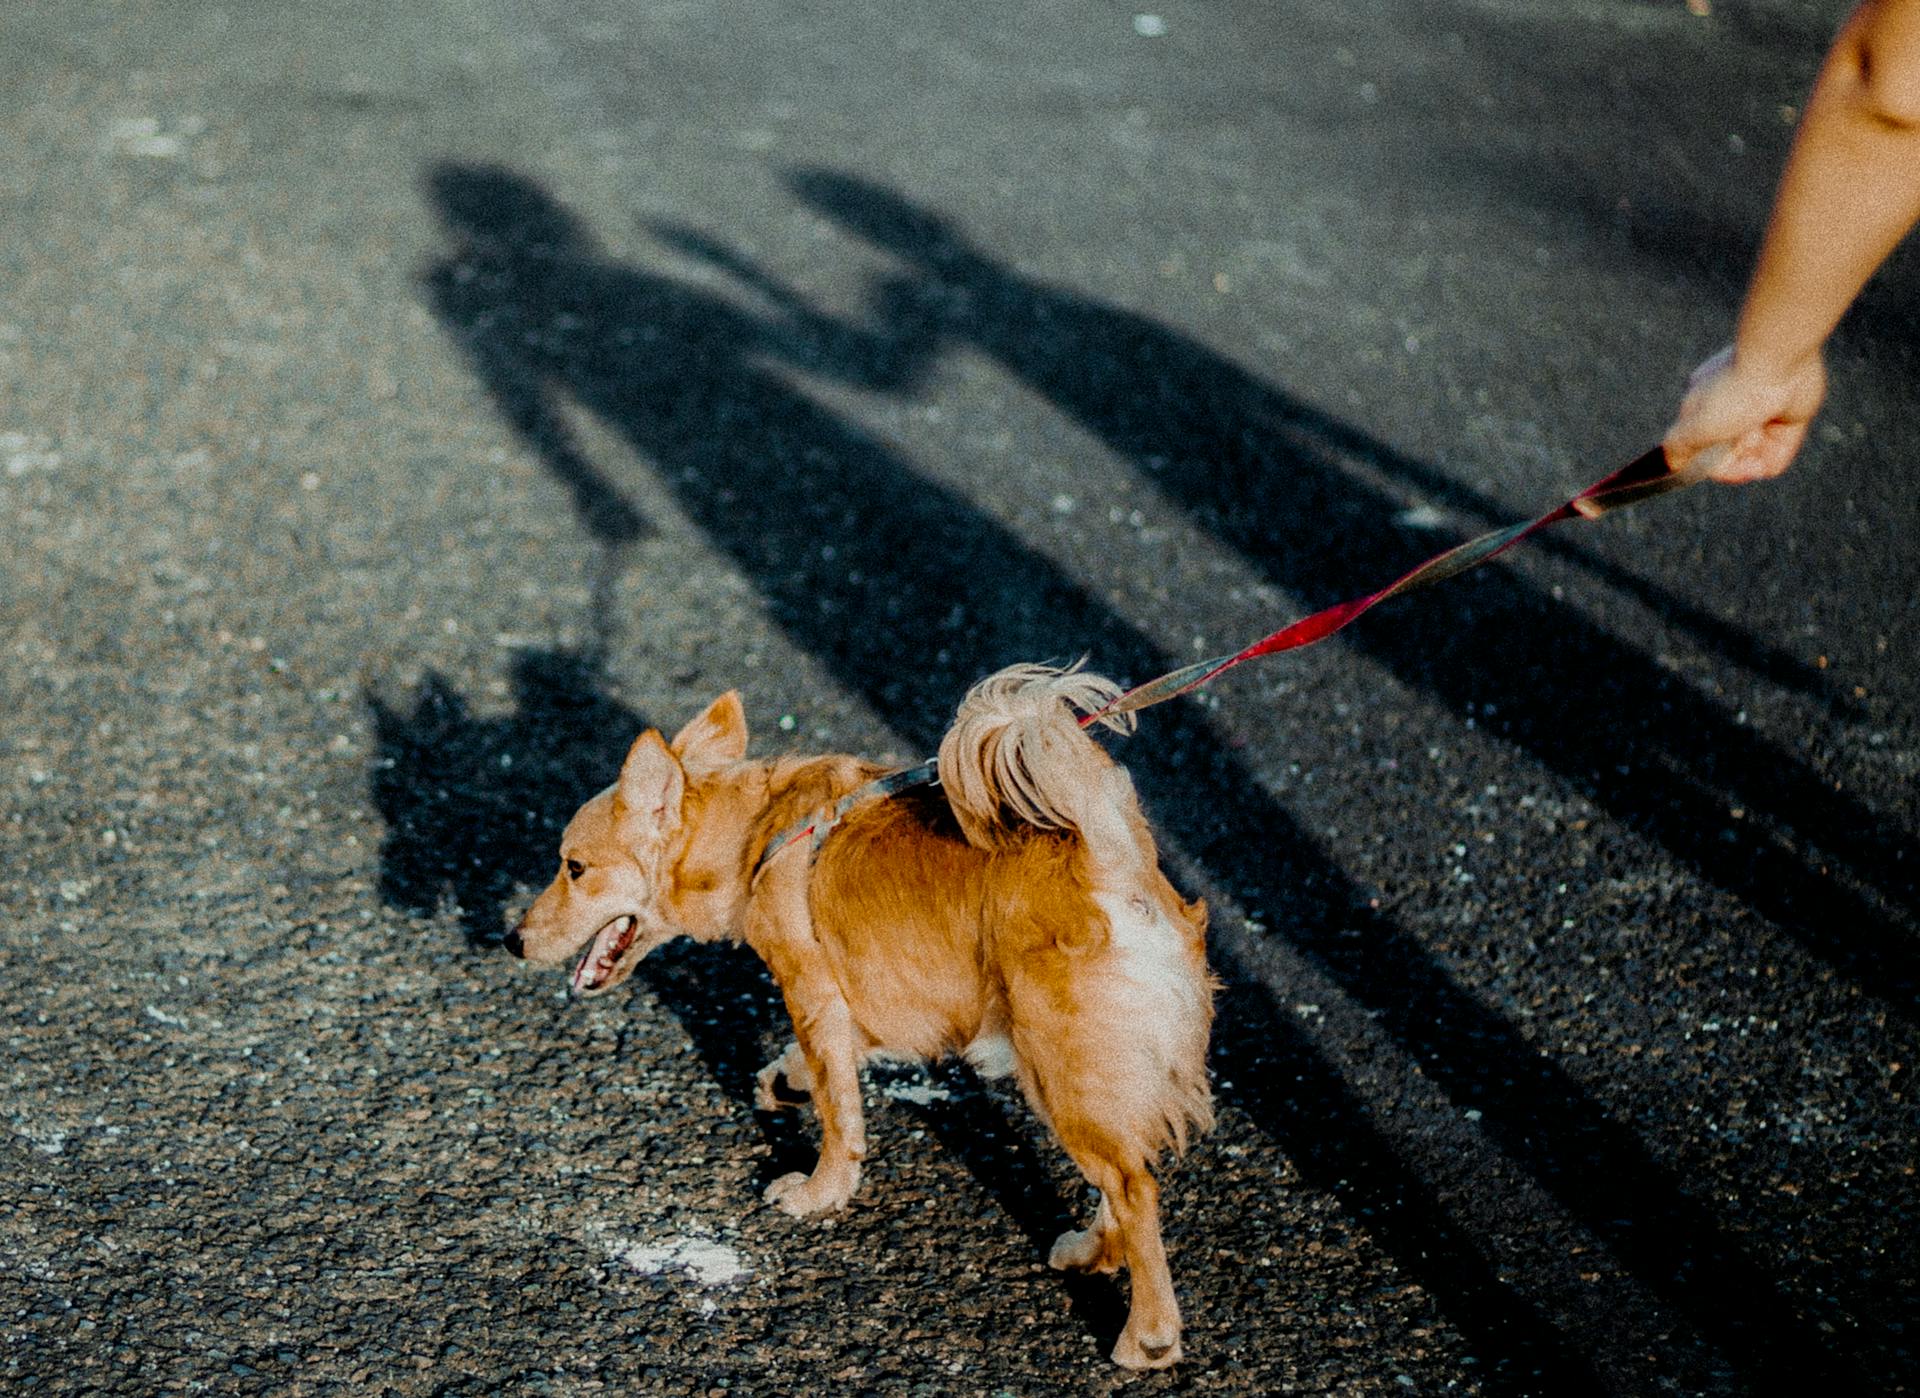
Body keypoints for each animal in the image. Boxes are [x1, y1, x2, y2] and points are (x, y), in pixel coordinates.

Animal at [503, 664, 1205, 1367]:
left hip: (1058, 1072)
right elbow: (820, 1066)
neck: (756, 838)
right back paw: (1091, 1253)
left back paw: (1148, 1335)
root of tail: (1110, 859)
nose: (511, 939)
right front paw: (785, 1083)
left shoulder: (811, 994)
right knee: (1125, 1175)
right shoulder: (862, 1002)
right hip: (1088, 1077)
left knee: (1134, 1189)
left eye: (574, 868)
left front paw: (820, 1192)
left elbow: (839, 1115)